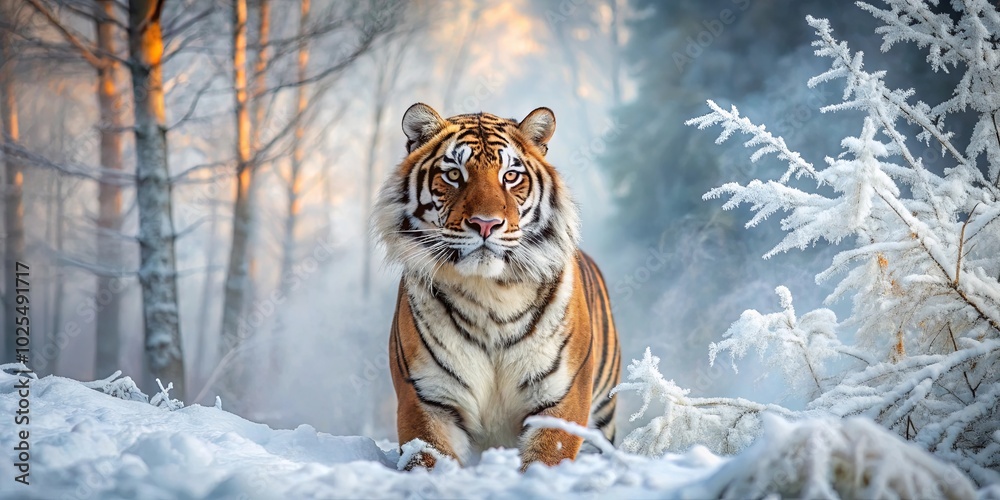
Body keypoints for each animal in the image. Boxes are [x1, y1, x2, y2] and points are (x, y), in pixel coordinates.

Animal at [373, 103, 621, 471]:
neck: (491, 294)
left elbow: (547, 458)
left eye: (510, 176)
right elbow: (429, 458)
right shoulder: (428, 398)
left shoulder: (562, 398)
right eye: (454, 174)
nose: (485, 224)